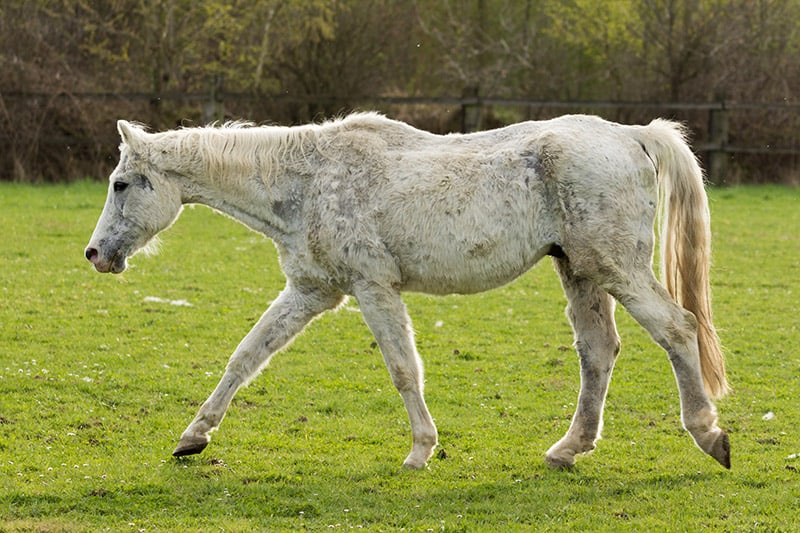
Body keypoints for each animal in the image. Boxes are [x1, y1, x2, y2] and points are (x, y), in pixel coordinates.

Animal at [85, 112, 730, 470]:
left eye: (121, 184)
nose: (95, 255)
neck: (309, 179)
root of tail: (632, 136)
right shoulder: (311, 292)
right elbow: (245, 356)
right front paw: (193, 437)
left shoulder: (373, 288)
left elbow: (402, 369)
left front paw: (420, 451)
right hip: (580, 271)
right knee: (598, 353)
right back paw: (568, 449)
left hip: (616, 268)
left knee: (677, 329)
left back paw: (709, 434)